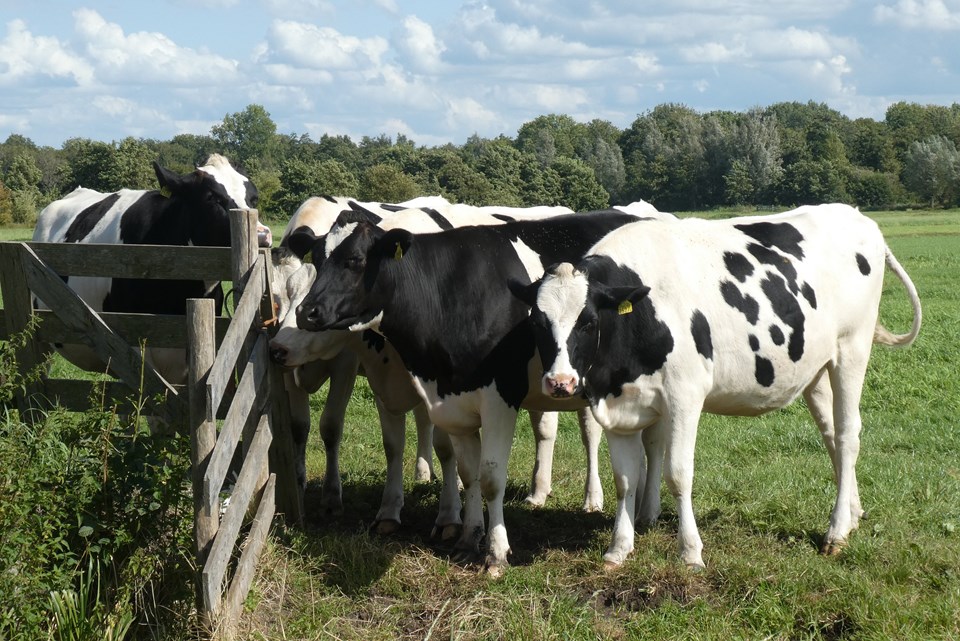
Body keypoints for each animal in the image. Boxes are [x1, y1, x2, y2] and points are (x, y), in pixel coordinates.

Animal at [295, 209, 662, 575]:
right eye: (317, 259)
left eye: (355, 260)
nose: (306, 312)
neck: (449, 293)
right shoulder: (453, 399)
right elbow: (467, 473)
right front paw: (468, 539)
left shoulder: (500, 398)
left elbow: (491, 478)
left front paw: (496, 553)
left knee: (641, 442)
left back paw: (633, 510)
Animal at [512, 204, 922, 570]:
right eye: (537, 322)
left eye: (589, 321)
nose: (559, 382)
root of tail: (856, 216)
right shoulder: (616, 403)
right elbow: (625, 480)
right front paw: (618, 549)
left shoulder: (685, 394)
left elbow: (678, 474)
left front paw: (690, 552)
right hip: (817, 369)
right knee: (832, 435)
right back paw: (851, 514)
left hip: (852, 349)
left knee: (849, 434)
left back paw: (836, 532)